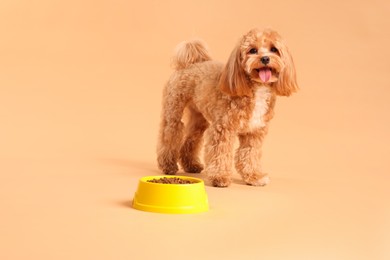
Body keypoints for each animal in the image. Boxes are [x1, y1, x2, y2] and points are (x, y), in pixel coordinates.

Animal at [157, 28, 298, 187]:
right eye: (252, 50)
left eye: (274, 49)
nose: (265, 59)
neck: (255, 88)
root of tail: (192, 63)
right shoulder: (222, 128)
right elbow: (220, 153)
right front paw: (220, 177)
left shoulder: (254, 132)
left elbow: (250, 155)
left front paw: (254, 176)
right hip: (173, 111)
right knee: (169, 136)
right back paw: (168, 165)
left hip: (198, 119)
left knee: (191, 140)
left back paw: (191, 165)